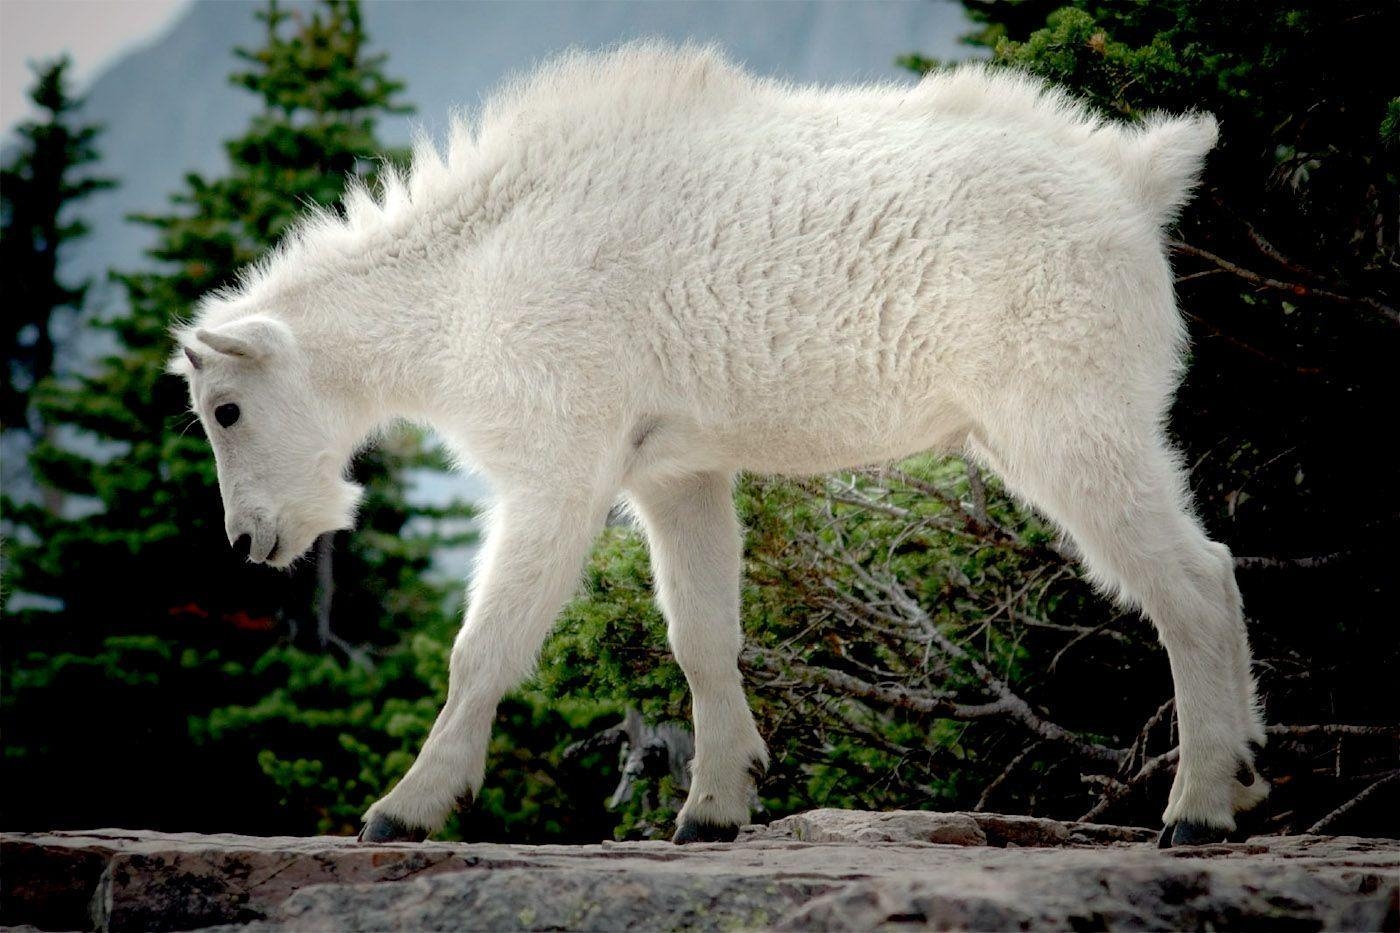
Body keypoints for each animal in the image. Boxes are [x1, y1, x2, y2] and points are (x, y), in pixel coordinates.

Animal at [172, 41, 1271, 840]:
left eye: (224, 410)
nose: (250, 541)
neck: (463, 281)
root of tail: (1134, 181)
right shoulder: (675, 472)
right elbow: (700, 634)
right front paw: (714, 805)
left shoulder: (559, 467)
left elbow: (484, 647)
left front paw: (404, 807)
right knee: (1209, 571)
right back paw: (1246, 779)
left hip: (1067, 418)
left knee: (1191, 579)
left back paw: (1199, 807)